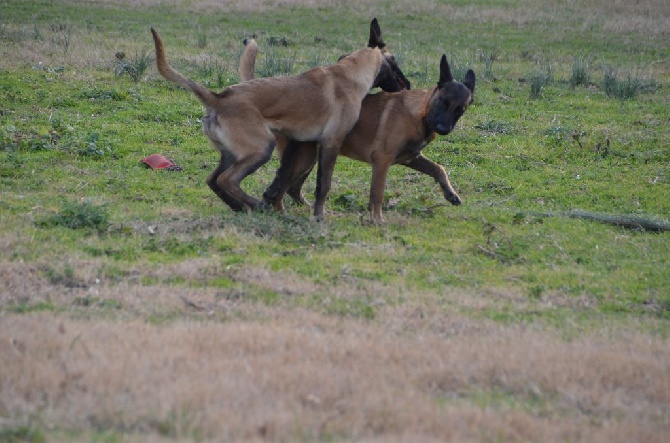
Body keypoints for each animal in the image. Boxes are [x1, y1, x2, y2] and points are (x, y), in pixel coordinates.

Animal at [150, 20, 410, 214]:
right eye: (395, 62)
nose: (408, 84)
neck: (350, 73)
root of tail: (218, 98)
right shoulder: (331, 142)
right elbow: (323, 185)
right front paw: (319, 217)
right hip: (260, 148)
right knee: (227, 180)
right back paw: (257, 205)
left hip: (232, 153)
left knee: (213, 179)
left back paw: (243, 208)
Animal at [242, 42, 478, 222]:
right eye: (443, 101)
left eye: (460, 109)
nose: (443, 129)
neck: (419, 113)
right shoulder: (382, 161)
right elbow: (377, 193)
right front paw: (377, 220)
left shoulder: (411, 158)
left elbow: (439, 169)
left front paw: (451, 194)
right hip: (305, 158)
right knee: (280, 189)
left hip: (308, 159)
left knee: (285, 188)